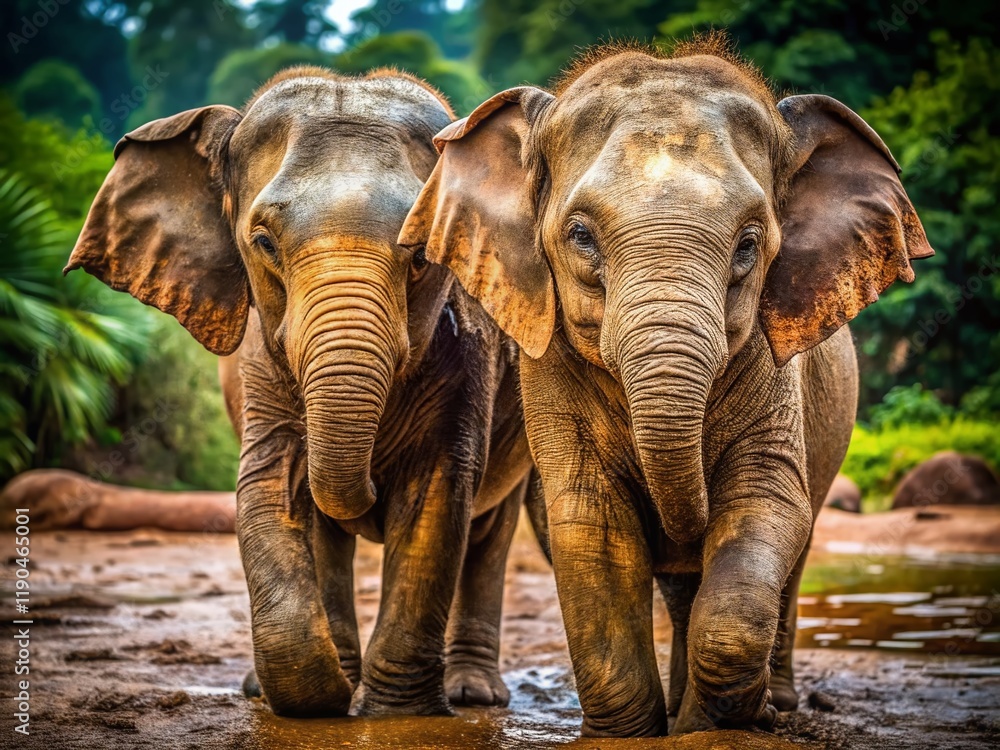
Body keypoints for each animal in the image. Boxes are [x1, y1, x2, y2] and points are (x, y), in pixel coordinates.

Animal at [65, 67, 533, 717]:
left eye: (420, 250)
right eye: (263, 242)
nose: (371, 490)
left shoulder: (470, 357)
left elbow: (436, 496)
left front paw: (392, 714)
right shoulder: (260, 362)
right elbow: (272, 484)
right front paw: (322, 694)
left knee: (490, 529)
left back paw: (471, 694)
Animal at [399, 38, 933, 736]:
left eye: (750, 243)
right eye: (580, 236)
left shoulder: (774, 367)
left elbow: (765, 502)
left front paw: (724, 724)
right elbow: (592, 521)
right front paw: (630, 733)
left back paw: (774, 704)